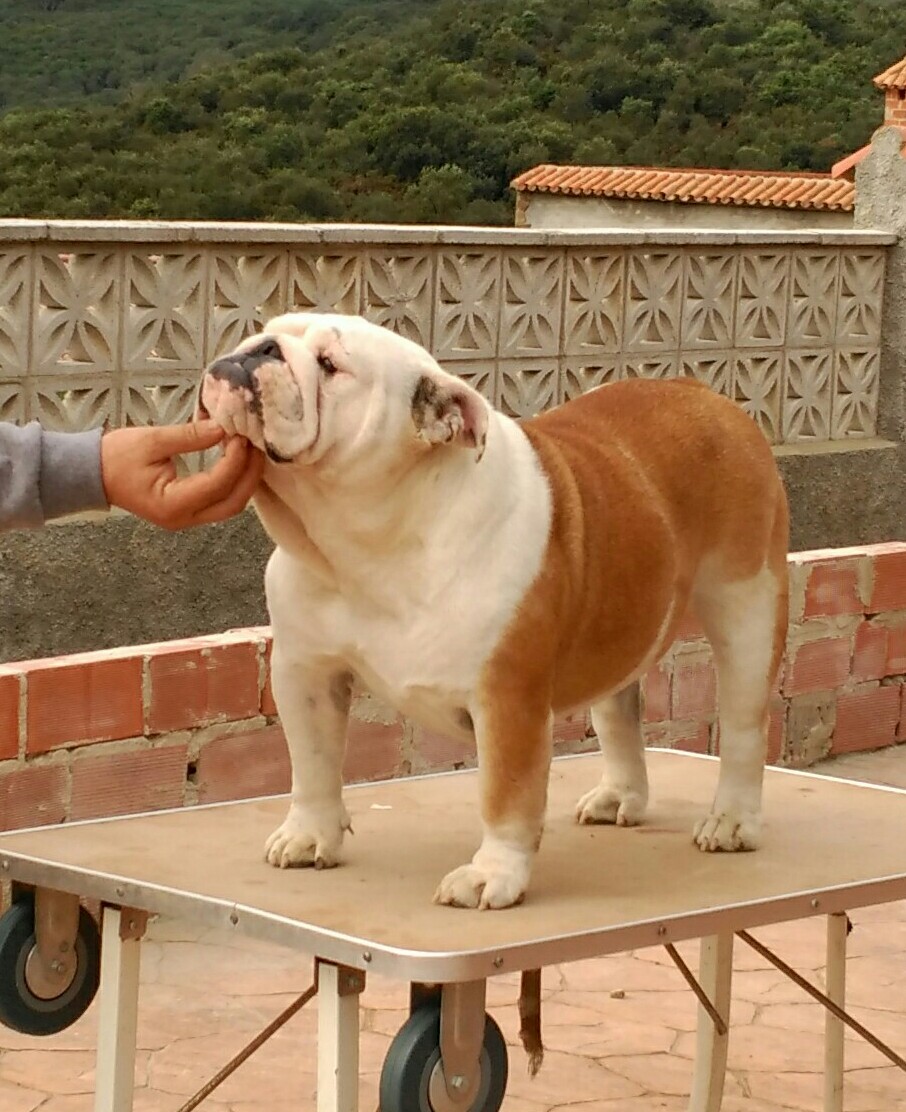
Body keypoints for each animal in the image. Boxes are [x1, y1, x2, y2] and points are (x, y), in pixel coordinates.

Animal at [198, 312, 789, 910]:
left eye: (329, 365)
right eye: (266, 330)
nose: (260, 350)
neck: (372, 542)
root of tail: (701, 393)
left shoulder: (507, 697)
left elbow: (507, 795)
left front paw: (492, 875)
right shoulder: (306, 673)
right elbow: (313, 764)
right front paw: (308, 835)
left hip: (747, 607)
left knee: (744, 723)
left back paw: (732, 822)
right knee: (620, 706)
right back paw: (620, 795)